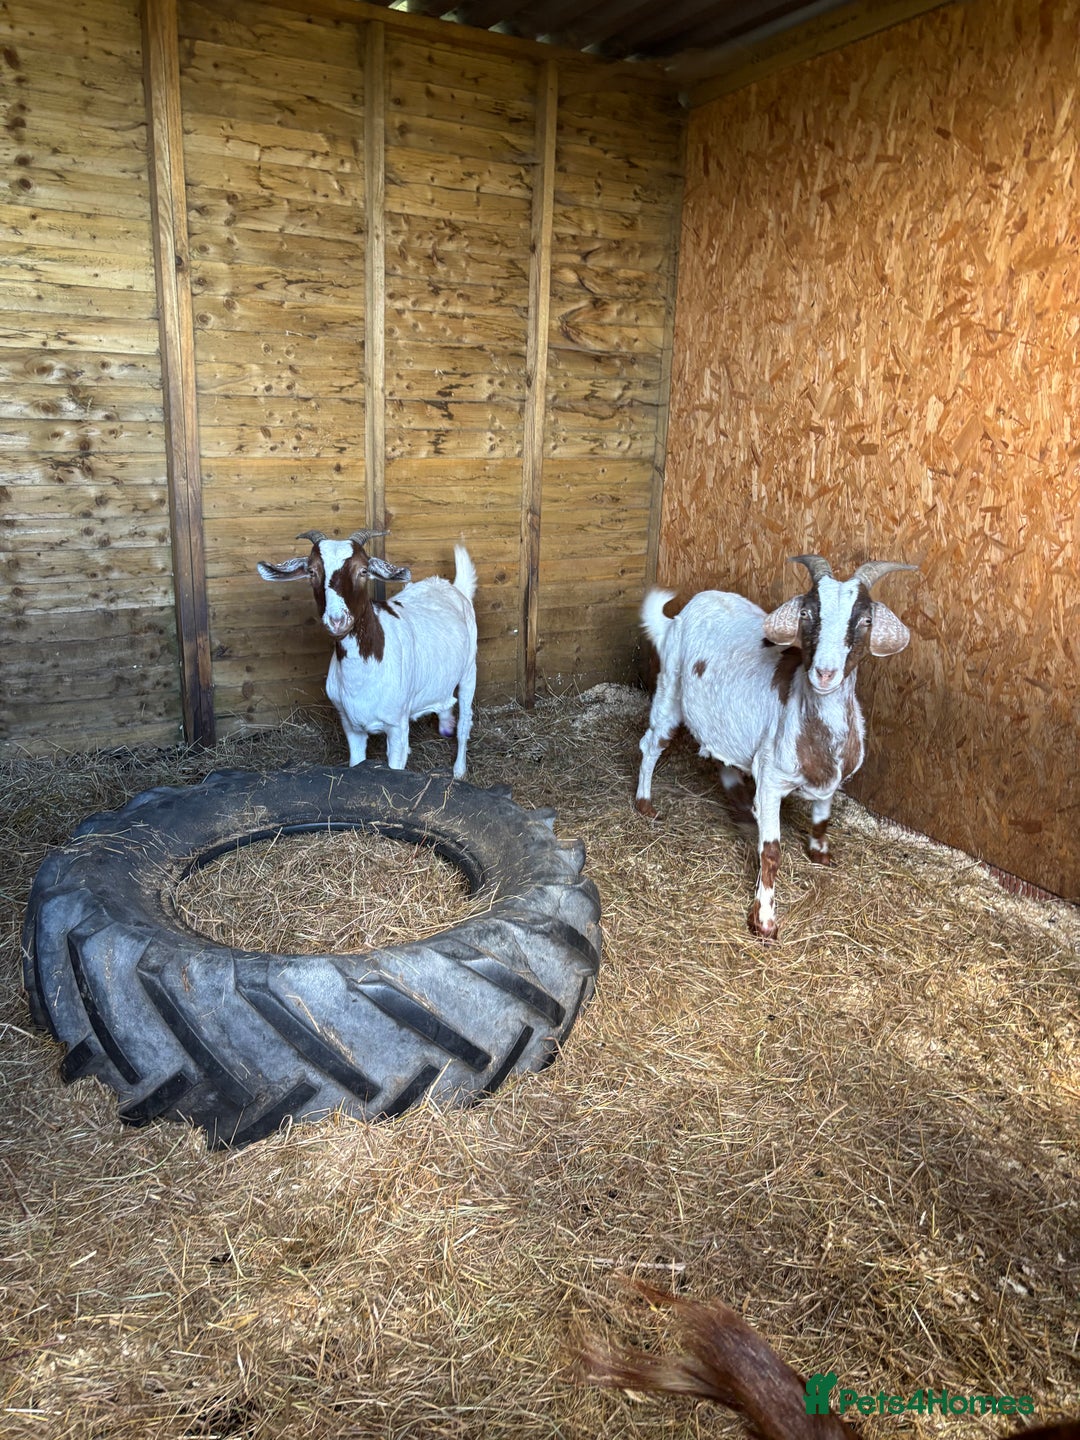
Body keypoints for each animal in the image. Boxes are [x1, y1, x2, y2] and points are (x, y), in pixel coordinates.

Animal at [258, 528, 477, 779]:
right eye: (312, 571)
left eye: (363, 570)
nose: (337, 620)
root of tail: (451, 586)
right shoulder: (349, 724)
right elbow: (357, 763)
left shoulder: (396, 726)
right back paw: (445, 724)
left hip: (469, 670)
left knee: (465, 723)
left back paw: (459, 769)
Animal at [635, 556, 917, 940]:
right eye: (806, 613)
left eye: (866, 620)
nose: (824, 673)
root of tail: (681, 614)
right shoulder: (771, 780)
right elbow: (771, 851)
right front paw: (764, 920)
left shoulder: (830, 777)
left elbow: (822, 818)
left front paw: (820, 853)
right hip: (670, 688)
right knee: (651, 742)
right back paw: (645, 803)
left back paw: (741, 805)